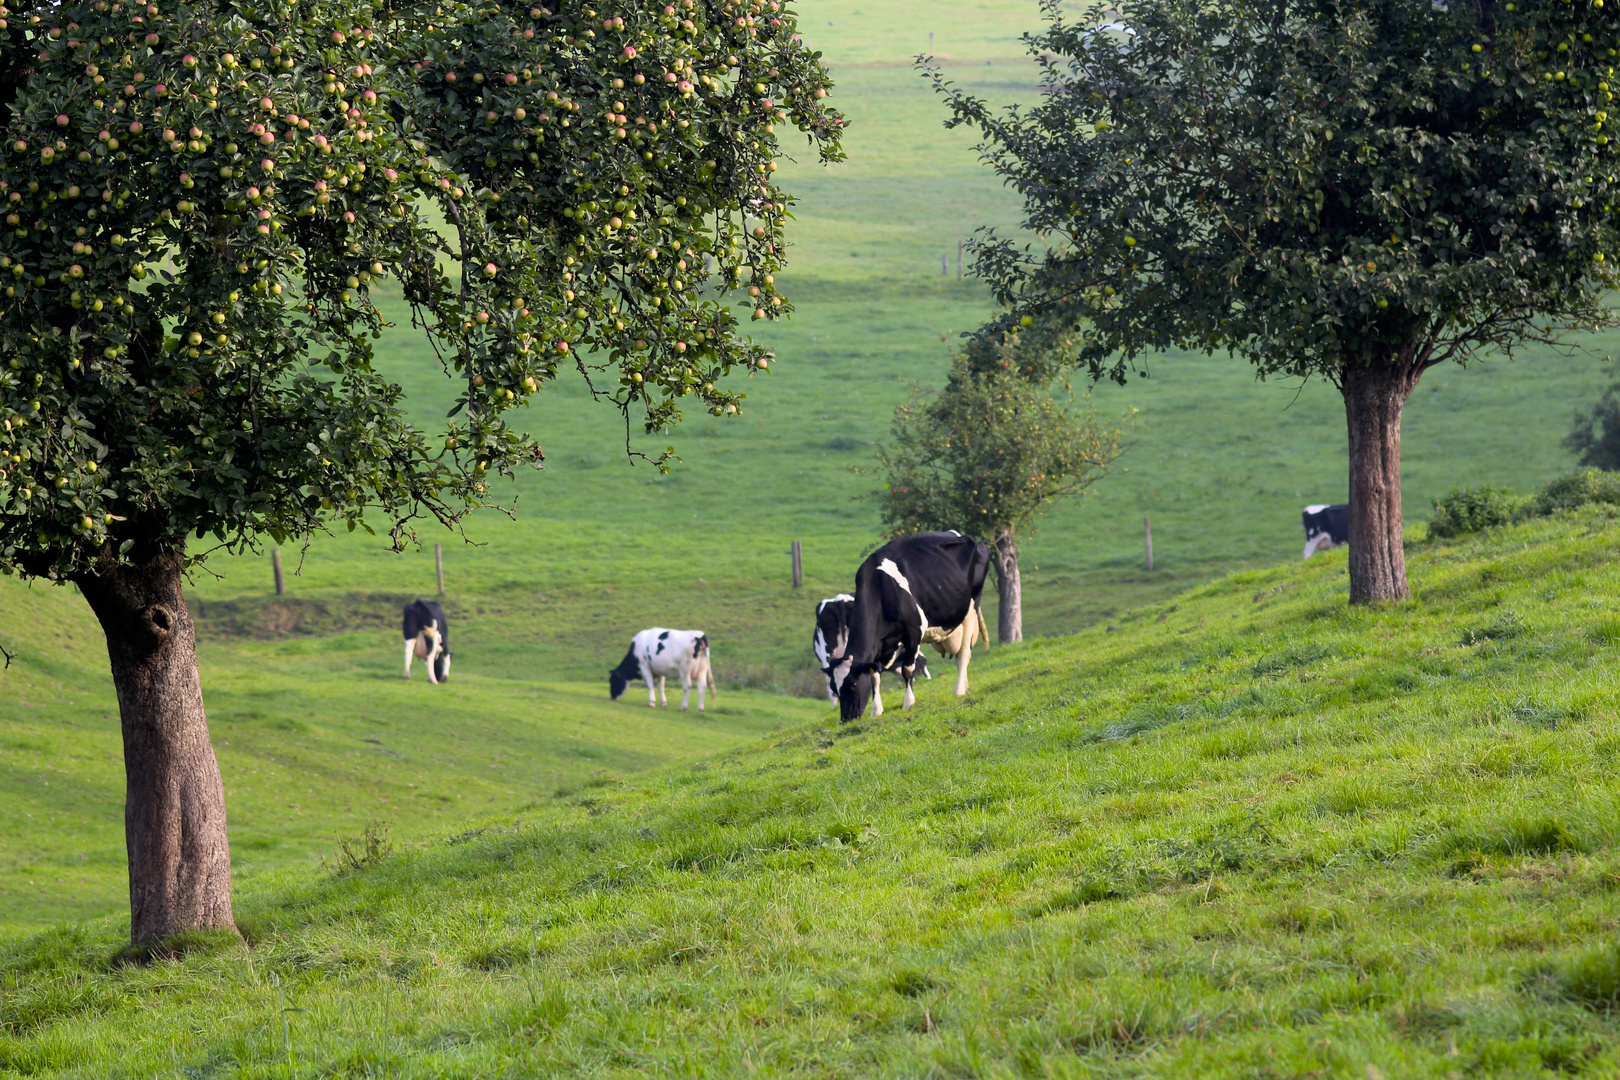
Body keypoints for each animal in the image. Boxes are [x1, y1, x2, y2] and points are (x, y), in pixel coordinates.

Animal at [829, 534, 991, 725]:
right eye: (834, 688)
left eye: (852, 685)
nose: (845, 719)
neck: (880, 587)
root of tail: (963, 536)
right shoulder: (882, 644)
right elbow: (875, 675)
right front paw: (876, 710)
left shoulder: (914, 631)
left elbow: (907, 669)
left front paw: (908, 702)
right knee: (959, 656)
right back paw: (965, 688)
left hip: (971, 609)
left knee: (964, 654)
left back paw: (958, 691)